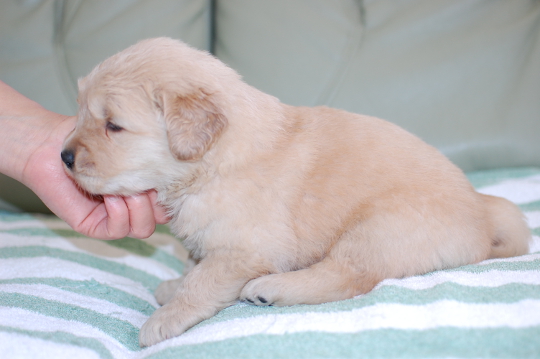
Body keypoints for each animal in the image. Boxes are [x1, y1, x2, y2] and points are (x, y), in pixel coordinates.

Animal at [61, 38, 528, 348]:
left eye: (113, 125)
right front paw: (172, 286)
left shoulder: (248, 248)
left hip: (379, 227)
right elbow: (195, 266)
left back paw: (272, 288)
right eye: (81, 111)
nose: (63, 157)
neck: (215, 163)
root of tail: (484, 214)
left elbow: (203, 280)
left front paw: (166, 316)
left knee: (350, 277)